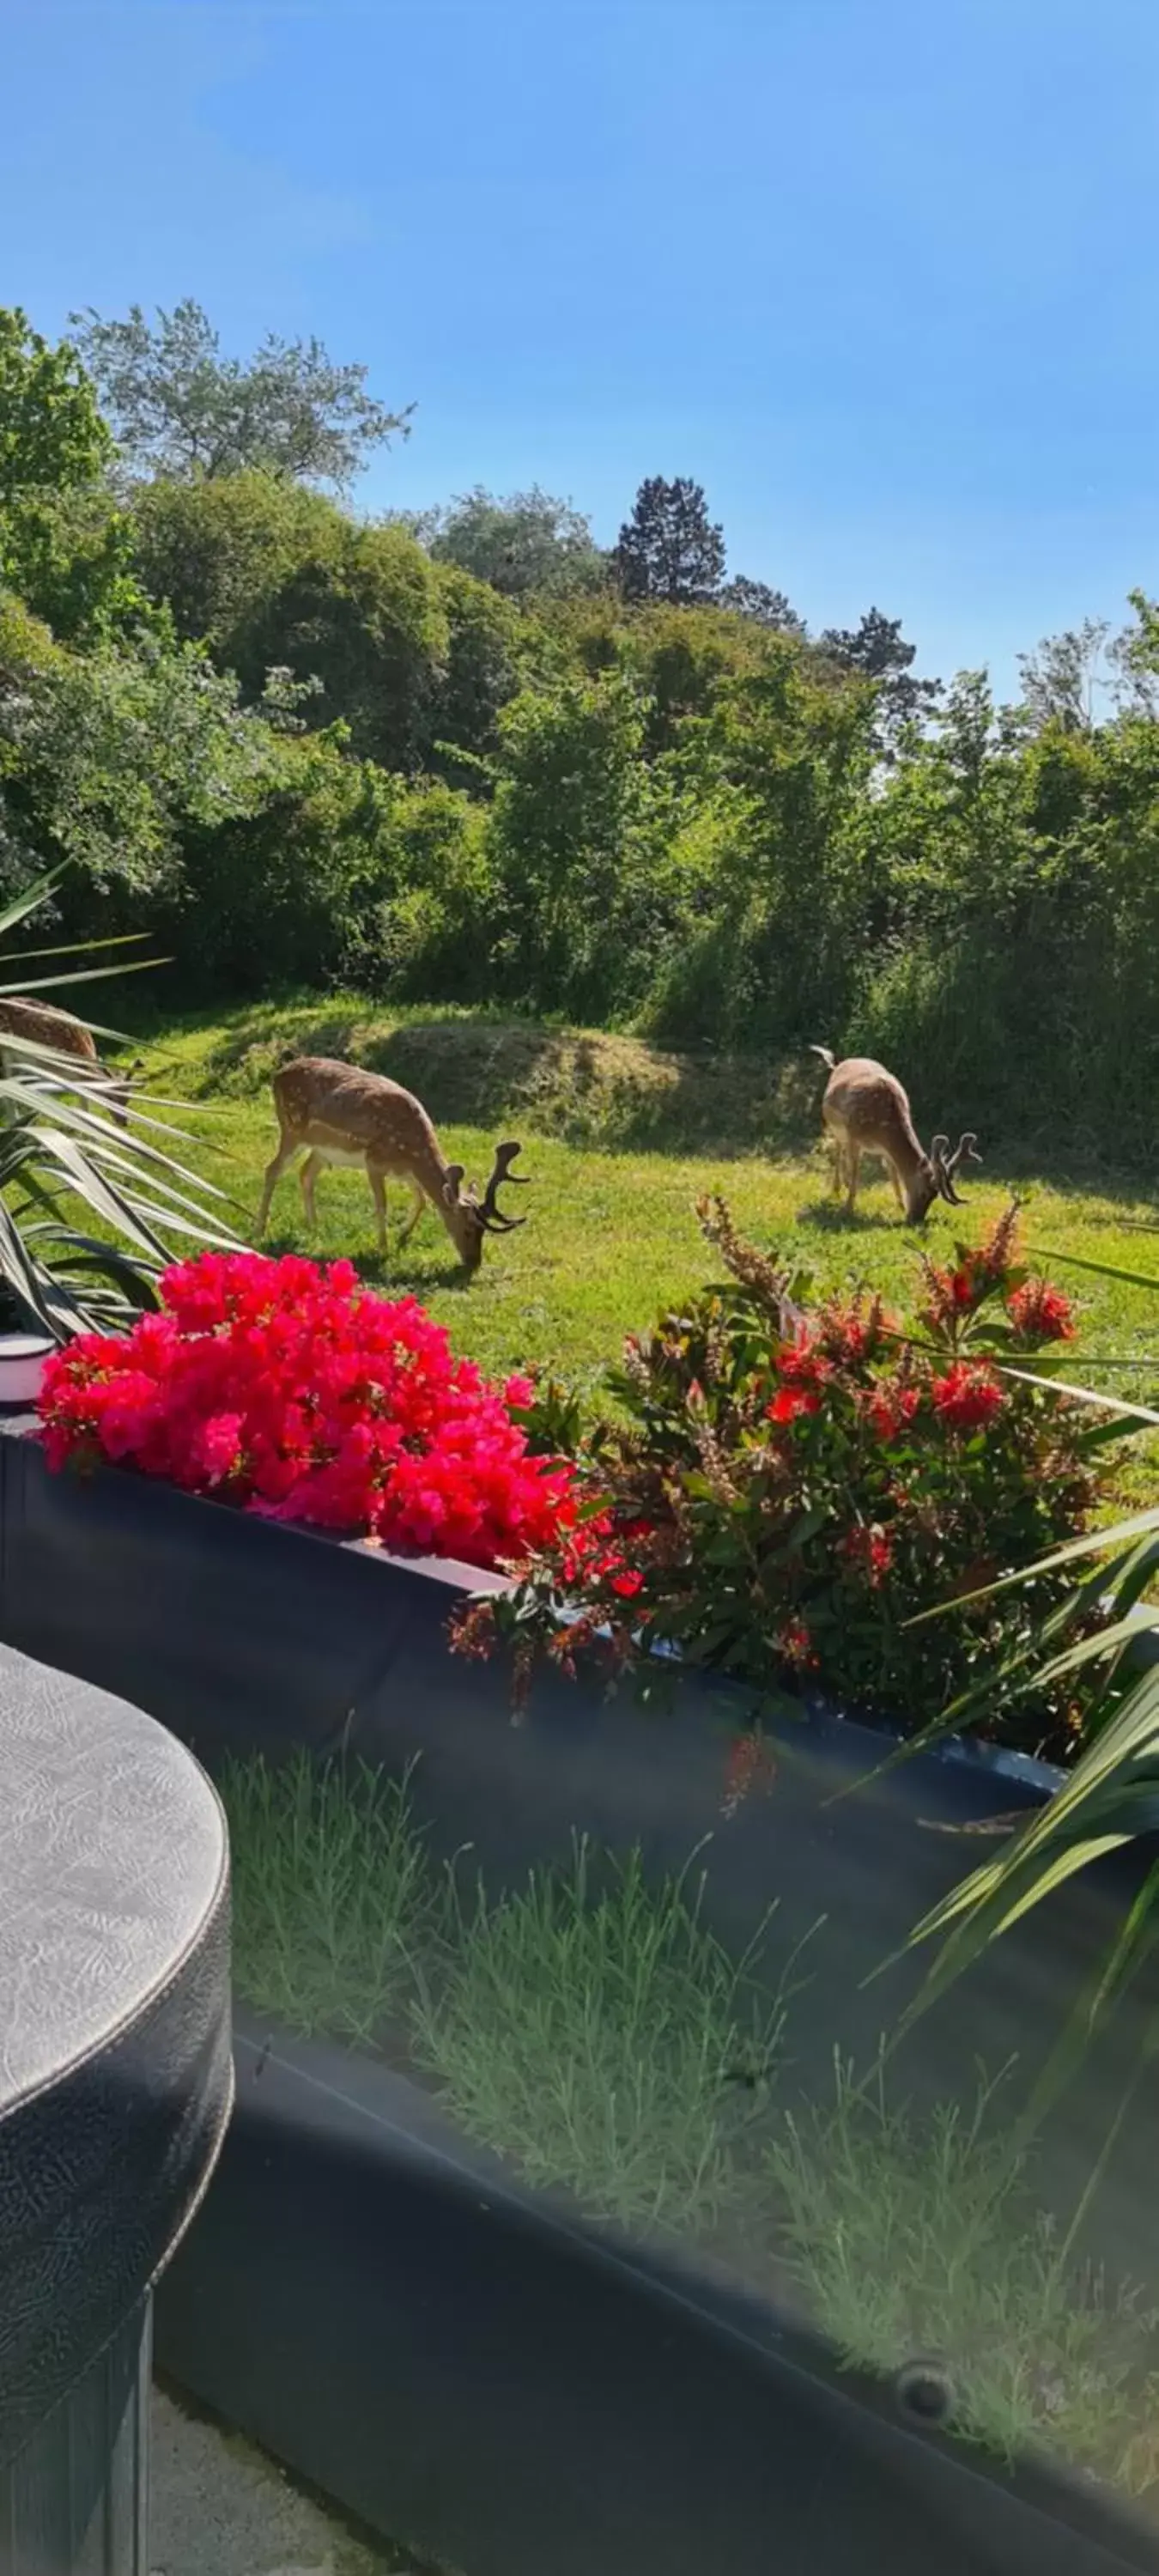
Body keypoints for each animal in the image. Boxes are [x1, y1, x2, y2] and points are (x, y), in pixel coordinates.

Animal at [258, 1051, 531, 1273]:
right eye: (467, 1229)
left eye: (483, 1231)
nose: (474, 1263)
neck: (410, 1150)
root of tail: (276, 1075)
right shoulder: (374, 1161)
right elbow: (382, 1205)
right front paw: (383, 1249)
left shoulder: (406, 1172)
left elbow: (421, 1200)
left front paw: (402, 1236)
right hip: (292, 1129)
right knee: (272, 1169)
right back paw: (260, 1229)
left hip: (321, 1150)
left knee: (305, 1174)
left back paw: (314, 1227)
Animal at [809, 1041, 984, 1221]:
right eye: (924, 1193)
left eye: (934, 1197)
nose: (915, 1219)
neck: (881, 1128)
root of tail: (839, 1063)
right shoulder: (854, 1137)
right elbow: (856, 1173)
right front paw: (848, 1209)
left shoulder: (886, 1149)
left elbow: (894, 1175)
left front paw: (900, 1206)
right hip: (834, 1126)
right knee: (838, 1151)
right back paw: (837, 1188)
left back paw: (844, 1183)